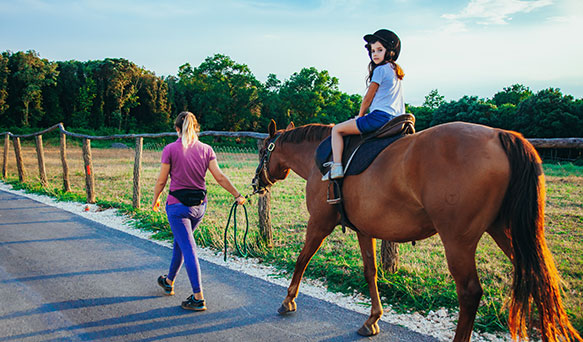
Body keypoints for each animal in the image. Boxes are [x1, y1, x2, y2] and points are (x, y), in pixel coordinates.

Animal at [253, 119, 580, 342]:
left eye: (261, 152)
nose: (257, 182)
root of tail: (501, 136)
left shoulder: (319, 223)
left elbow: (302, 258)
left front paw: (288, 299)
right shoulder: (364, 230)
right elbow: (371, 271)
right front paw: (373, 318)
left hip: (458, 241)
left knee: (470, 292)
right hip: (508, 233)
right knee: (540, 281)